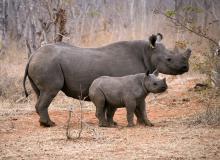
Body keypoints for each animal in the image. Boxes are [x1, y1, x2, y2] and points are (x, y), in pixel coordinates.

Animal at [22, 33, 191, 127]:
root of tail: (32, 56)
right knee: (50, 91)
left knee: (40, 92)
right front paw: (137, 124)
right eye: (169, 59)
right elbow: (134, 106)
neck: (148, 52)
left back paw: (43, 123)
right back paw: (49, 124)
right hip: (47, 63)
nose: (185, 67)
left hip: (42, 62)